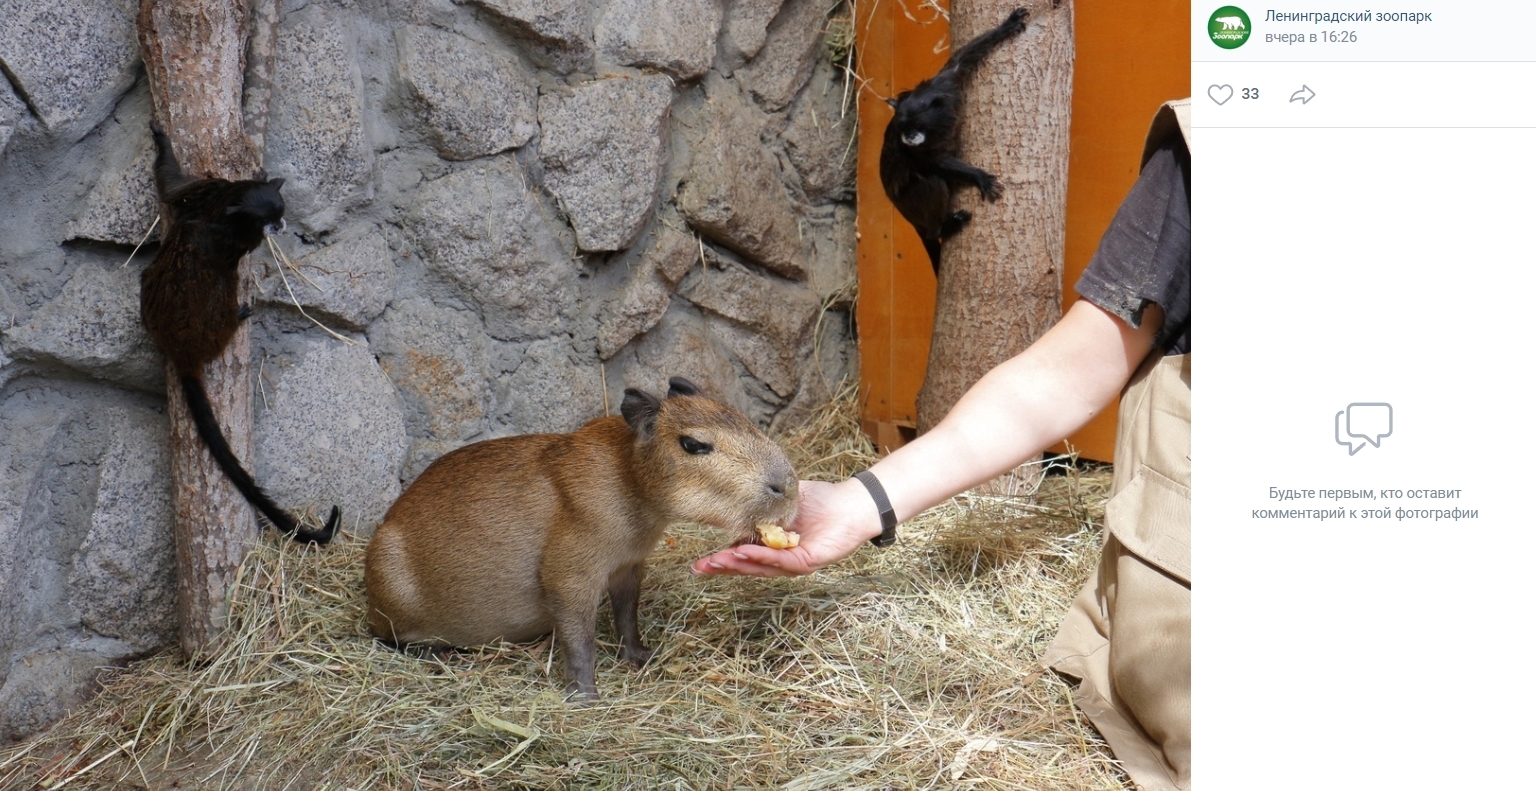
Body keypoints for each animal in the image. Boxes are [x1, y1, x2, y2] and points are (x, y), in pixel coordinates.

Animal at [140, 123, 339, 543]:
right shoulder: (224, 204)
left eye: (280, 213)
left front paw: (162, 141)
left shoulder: (205, 189)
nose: (280, 226)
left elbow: (170, 188)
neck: (228, 208)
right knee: (223, 296)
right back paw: (238, 315)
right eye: (269, 220)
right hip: (215, 323)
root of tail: (180, 348)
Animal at [878, 6, 1032, 274]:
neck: (938, 123)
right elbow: (936, 161)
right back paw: (942, 228)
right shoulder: (918, 148)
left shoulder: (946, 83)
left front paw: (1007, 26)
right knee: (933, 184)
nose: (908, 137)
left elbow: (962, 60)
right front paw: (979, 176)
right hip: (910, 202)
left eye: (915, 126)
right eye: (903, 128)